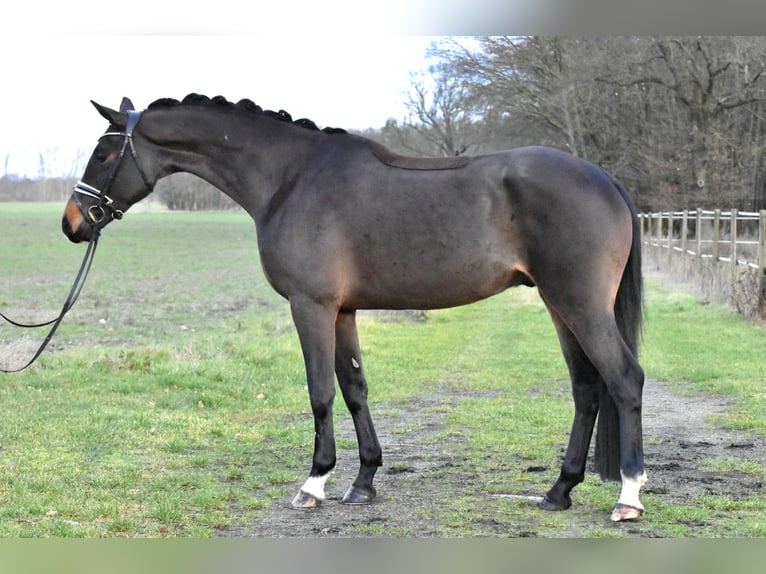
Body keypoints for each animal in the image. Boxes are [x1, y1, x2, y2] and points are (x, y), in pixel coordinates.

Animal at [61, 93, 648, 520]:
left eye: (103, 154)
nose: (72, 223)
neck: (291, 179)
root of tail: (604, 179)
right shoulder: (343, 311)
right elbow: (354, 389)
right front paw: (364, 481)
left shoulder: (311, 306)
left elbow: (320, 392)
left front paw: (314, 483)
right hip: (558, 304)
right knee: (587, 388)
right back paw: (559, 491)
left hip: (578, 302)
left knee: (623, 379)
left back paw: (628, 496)